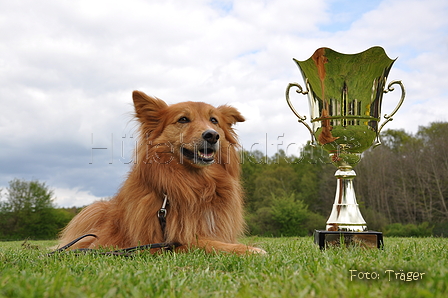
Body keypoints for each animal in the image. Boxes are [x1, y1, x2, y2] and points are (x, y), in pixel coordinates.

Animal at [57, 90, 264, 254]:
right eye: (183, 119)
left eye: (214, 120)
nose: (212, 135)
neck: (197, 185)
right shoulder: (161, 244)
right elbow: (203, 243)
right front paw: (249, 250)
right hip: (94, 209)